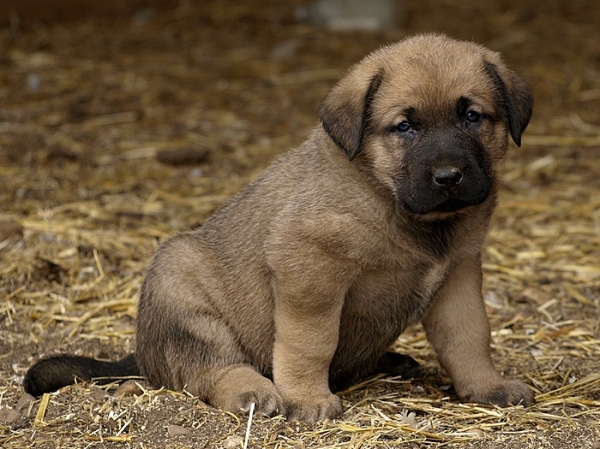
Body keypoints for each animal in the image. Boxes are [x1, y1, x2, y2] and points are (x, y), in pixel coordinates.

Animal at [23, 34, 536, 420]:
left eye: (471, 116)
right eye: (405, 127)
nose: (449, 176)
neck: (390, 198)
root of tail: (141, 356)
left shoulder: (459, 273)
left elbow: (469, 337)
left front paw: (488, 386)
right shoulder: (309, 270)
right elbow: (310, 343)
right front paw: (307, 399)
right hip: (179, 282)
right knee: (206, 369)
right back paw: (251, 391)